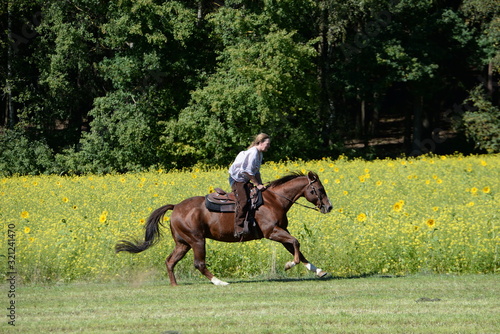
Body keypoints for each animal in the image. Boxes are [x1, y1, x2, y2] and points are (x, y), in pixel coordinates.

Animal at [116, 171, 332, 286]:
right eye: (319, 190)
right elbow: (296, 243)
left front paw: (319, 271)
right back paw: (219, 282)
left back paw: (175, 284)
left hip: (183, 244)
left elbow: (298, 250)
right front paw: (288, 265)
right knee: (199, 264)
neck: (274, 200)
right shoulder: (273, 232)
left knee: (170, 261)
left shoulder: (280, 231)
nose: (328, 207)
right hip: (197, 241)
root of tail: (175, 206)